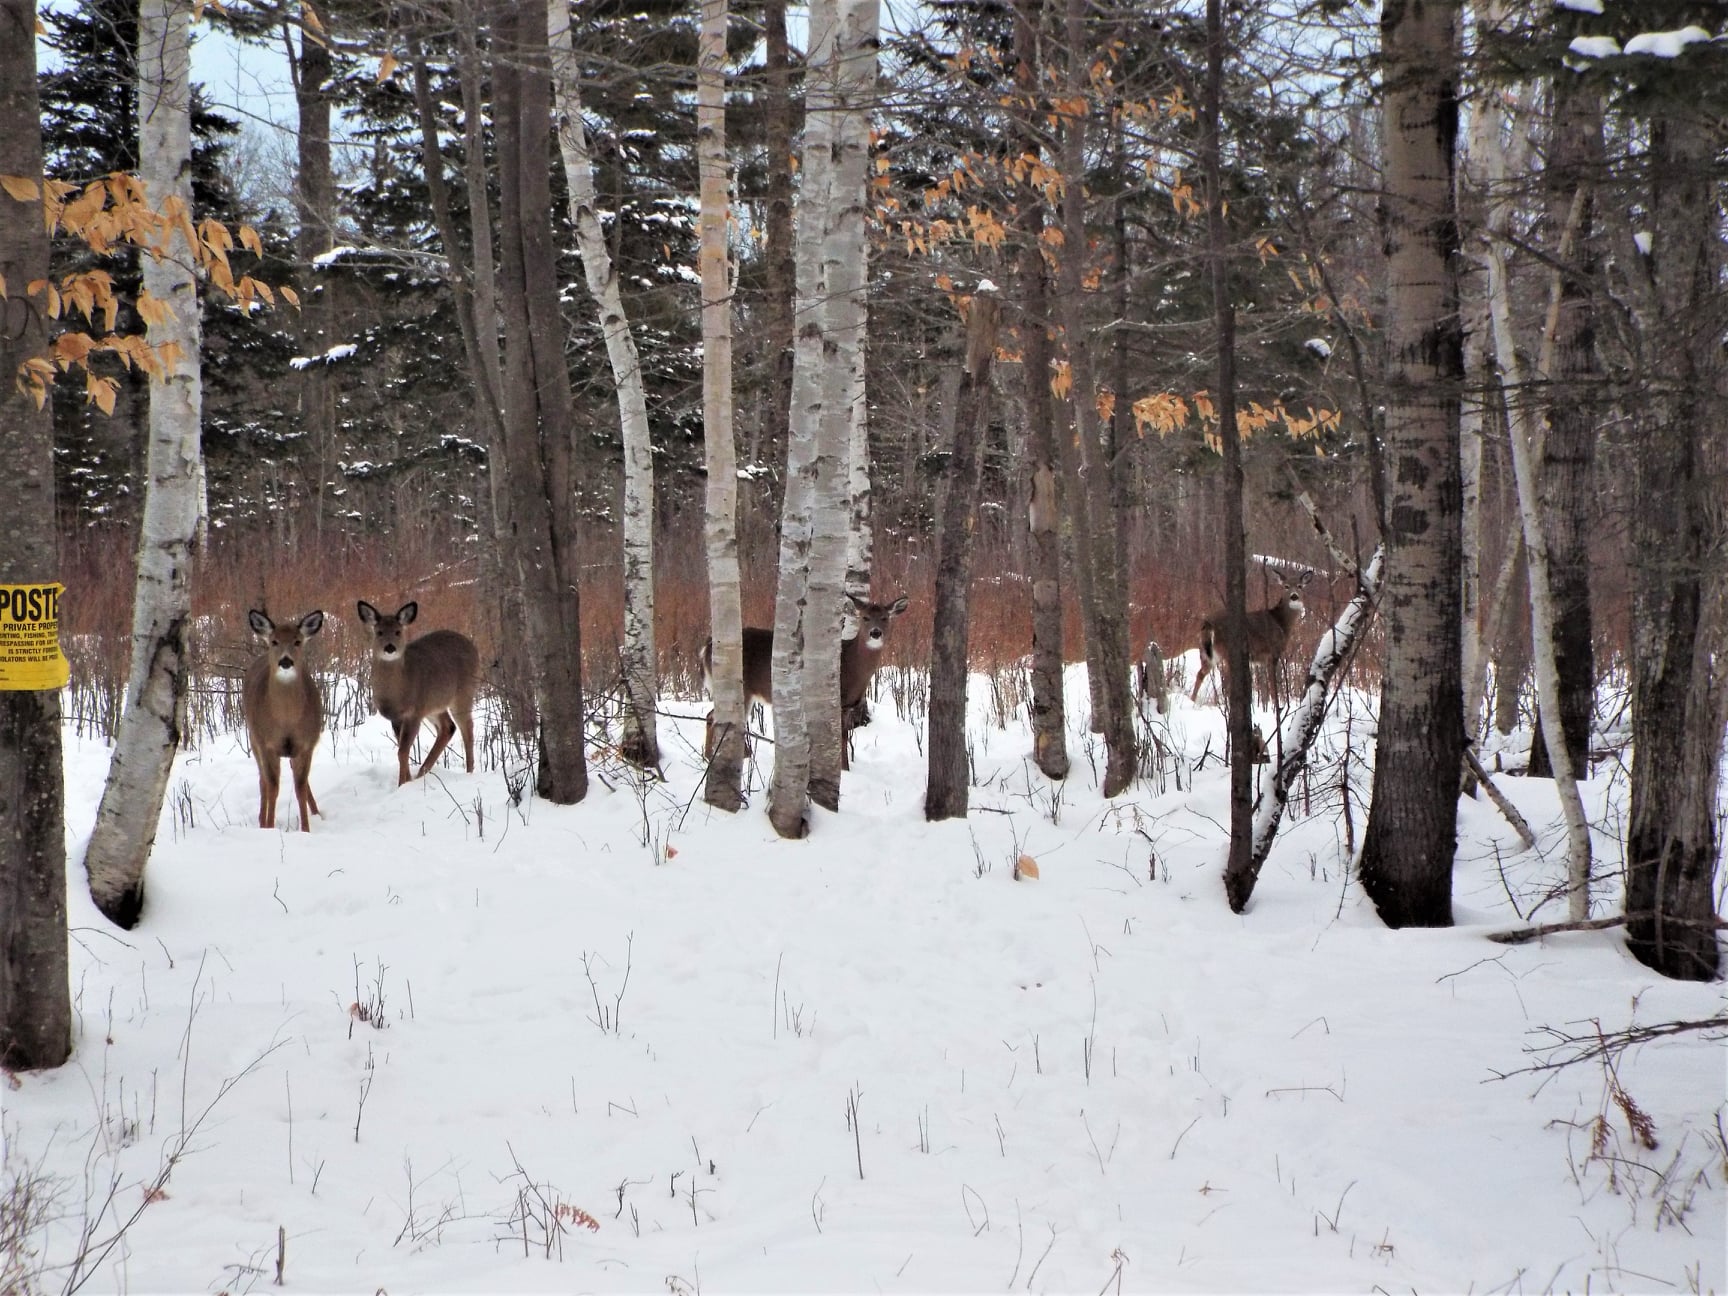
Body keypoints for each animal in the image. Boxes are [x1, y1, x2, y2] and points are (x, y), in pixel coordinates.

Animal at [241, 609, 326, 831]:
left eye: (297, 641)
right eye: (274, 641)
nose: (285, 661)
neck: (286, 720)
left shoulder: (306, 744)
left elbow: (300, 787)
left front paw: (306, 829)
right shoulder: (266, 743)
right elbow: (272, 787)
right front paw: (269, 827)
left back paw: (317, 812)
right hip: (253, 738)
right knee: (262, 780)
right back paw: (261, 820)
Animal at [356, 600, 480, 786]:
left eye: (398, 631)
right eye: (379, 632)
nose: (390, 647)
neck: (398, 693)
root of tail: (473, 647)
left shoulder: (414, 713)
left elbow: (402, 751)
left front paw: (402, 784)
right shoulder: (397, 718)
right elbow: (402, 749)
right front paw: (407, 780)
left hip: (464, 692)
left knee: (467, 728)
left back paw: (469, 772)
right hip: (433, 704)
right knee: (448, 727)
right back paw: (422, 773)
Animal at [703, 593, 909, 769]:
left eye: (885, 618)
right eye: (865, 617)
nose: (875, 633)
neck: (851, 666)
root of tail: (707, 646)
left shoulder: (847, 706)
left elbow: (843, 736)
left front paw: (845, 768)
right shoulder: (836, 702)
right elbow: (838, 738)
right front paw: (841, 769)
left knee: (713, 716)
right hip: (738, 686)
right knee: (718, 717)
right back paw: (721, 756)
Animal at [1190, 569, 1313, 704]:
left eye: (1300, 586)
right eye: (1286, 586)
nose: (1294, 596)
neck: (1281, 623)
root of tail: (1208, 623)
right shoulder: (1272, 652)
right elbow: (1273, 685)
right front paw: (1276, 706)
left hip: (1207, 652)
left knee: (1201, 673)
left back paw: (1192, 700)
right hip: (1228, 650)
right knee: (1227, 680)